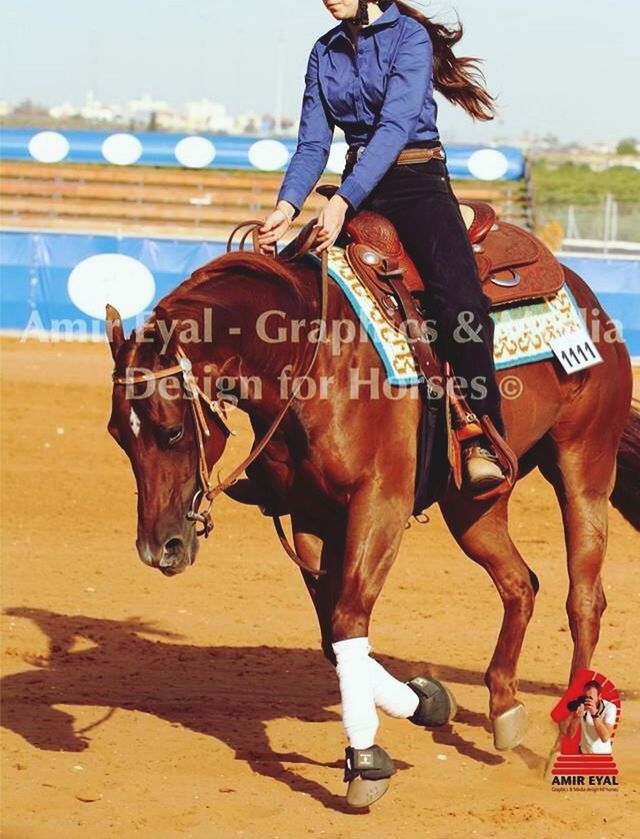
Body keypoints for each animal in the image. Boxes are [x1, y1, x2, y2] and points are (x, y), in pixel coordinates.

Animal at [107, 251, 636, 808]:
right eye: (118, 434)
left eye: (172, 431)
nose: (158, 548)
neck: (311, 358)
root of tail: (590, 300)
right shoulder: (310, 517)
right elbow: (333, 636)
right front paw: (425, 700)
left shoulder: (379, 505)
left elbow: (347, 620)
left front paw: (366, 761)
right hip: (472, 505)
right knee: (519, 584)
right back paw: (504, 708)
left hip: (583, 467)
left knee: (584, 602)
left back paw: (566, 742)